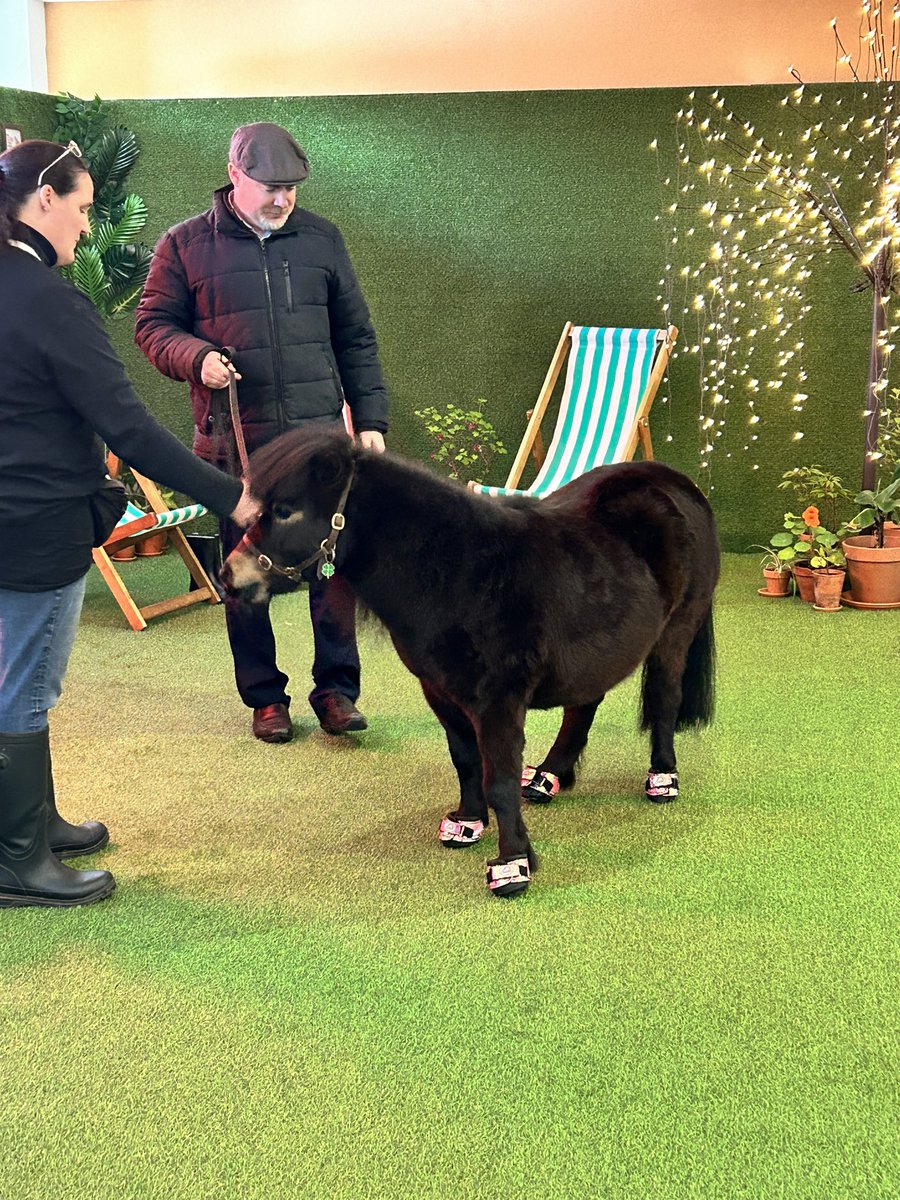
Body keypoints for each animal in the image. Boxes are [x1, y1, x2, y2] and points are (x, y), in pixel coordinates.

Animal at [222, 427, 724, 897]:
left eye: (286, 510)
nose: (228, 577)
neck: (459, 572)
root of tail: (679, 483)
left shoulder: (499, 701)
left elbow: (498, 777)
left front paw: (512, 866)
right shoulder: (441, 691)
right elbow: (466, 760)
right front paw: (466, 823)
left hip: (676, 633)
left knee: (664, 698)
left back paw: (662, 779)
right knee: (584, 703)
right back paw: (548, 777)